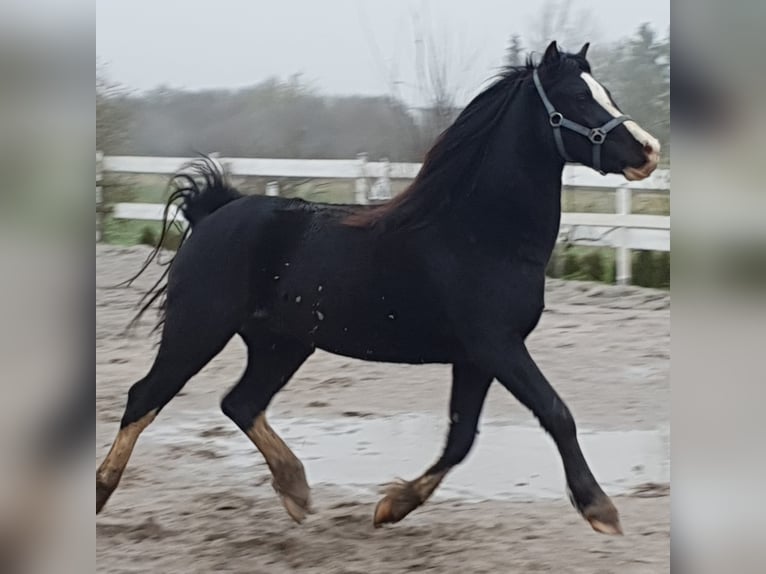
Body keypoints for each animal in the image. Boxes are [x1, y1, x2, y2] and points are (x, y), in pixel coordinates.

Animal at [96, 42, 660, 536]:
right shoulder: (497, 346)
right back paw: (102, 492)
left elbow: (461, 438)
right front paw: (600, 509)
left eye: (605, 91)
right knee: (146, 396)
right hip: (198, 329)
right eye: (577, 97)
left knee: (240, 402)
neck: (479, 233)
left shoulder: (476, 357)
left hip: (282, 344)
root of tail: (214, 213)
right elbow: (556, 412)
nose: (648, 152)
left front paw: (393, 507)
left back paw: (296, 490)